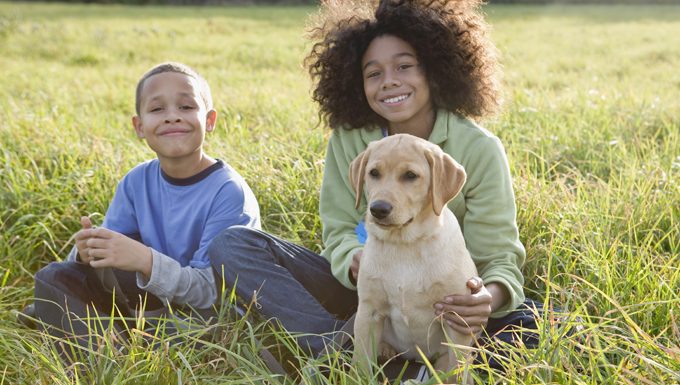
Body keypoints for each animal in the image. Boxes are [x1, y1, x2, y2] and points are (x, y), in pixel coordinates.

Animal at [350, 134, 478, 380]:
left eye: (410, 175)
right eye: (373, 173)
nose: (378, 209)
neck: (405, 244)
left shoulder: (455, 316)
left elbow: (456, 371)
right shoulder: (368, 312)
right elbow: (360, 363)